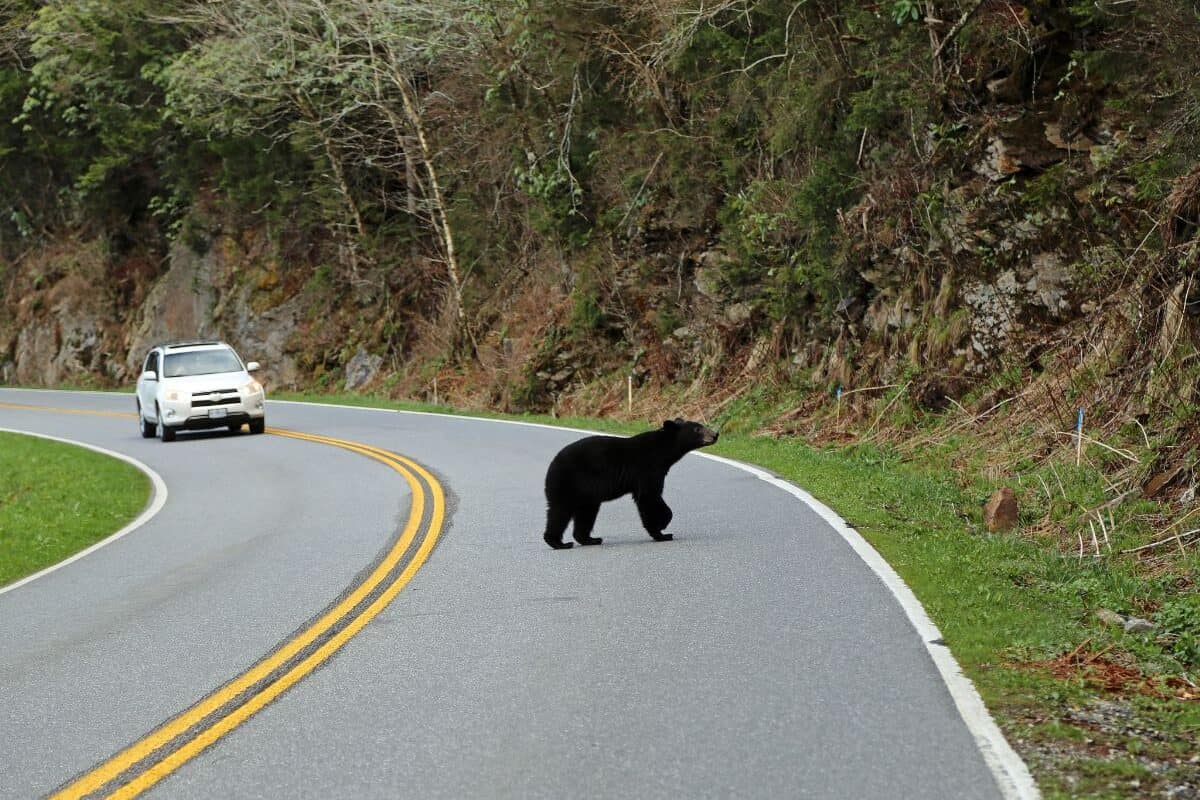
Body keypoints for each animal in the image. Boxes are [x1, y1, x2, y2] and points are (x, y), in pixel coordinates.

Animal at [541, 418, 719, 549]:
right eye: (697, 429)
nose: (715, 434)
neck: (663, 451)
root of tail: (552, 464)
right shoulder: (647, 468)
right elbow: (648, 497)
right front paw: (662, 530)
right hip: (567, 482)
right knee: (559, 511)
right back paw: (559, 543)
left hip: (587, 493)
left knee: (586, 512)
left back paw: (590, 539)